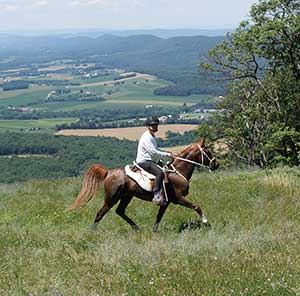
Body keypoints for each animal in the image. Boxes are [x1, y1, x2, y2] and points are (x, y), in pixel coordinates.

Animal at [69, 138, 218, 232]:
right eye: (208, 151)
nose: (216, 164)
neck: (178, 172)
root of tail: (107, 173)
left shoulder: (166, 202)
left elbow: (159, 216)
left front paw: (155, 230)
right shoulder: (179, 198)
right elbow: (197, 206)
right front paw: (206, 222)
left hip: (126, 196)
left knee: (120, 211)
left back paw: (136, 228)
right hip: (111, 198)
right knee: (100, 213)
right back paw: (92, 232)